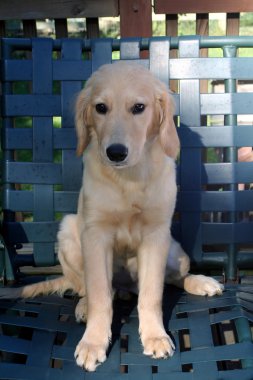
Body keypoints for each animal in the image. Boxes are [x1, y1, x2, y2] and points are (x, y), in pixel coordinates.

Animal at [1, 62, 223, 372]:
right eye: (101, 108)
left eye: (139, 107)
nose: (116, 153)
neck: (129, 178)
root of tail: (126, 287)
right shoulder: (96, 235)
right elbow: (100, 296)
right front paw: (93, 342)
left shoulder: (156, 236)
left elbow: (152, 294)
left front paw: (155, 336)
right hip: (69, 232)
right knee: (85, 286)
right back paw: (83, 306)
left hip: (177, 253)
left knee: (172, 278)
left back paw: (200, 281)